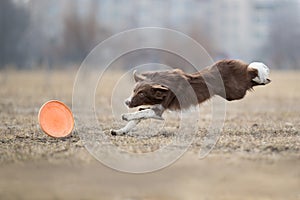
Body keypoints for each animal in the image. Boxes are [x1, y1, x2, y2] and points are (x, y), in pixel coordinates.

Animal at [111, 59, 270, 134]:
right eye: (134, 91)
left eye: (142, 93)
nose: (126, 102)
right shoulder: (155, 108)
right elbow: (138, 116)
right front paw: (120, 131)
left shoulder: (158, 111)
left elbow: (140, 114)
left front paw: (125, 116)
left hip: (235, 91)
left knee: (252, 72)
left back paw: (264, 76)